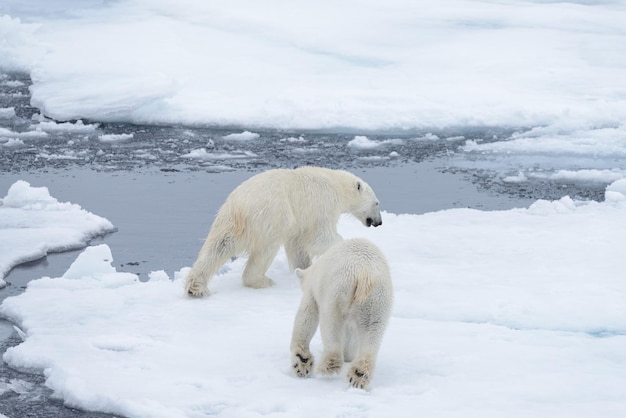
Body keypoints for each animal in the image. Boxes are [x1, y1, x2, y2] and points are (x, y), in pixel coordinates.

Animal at [184, 165, 380, 296]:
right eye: (377, 203)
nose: (379, 222)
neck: (336, 184)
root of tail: (240, 208)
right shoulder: (322, 205)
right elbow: (319, 238)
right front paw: (343, 246)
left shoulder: (300, 221)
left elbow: (298, 245)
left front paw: (304, 269)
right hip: (271, 217)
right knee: (265, 250)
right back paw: (262, 281)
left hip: (226, 220)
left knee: (217, 247)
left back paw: (195, 287)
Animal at [288, 238, 390, 392]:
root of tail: (364, 273)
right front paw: (348, 355)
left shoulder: (314, 291)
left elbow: (307, 316)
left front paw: (301, 362)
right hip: (376, 301)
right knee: (372, 331)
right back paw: (358, 376)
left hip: (337, 292)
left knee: (331, 325)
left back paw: (326, 367)